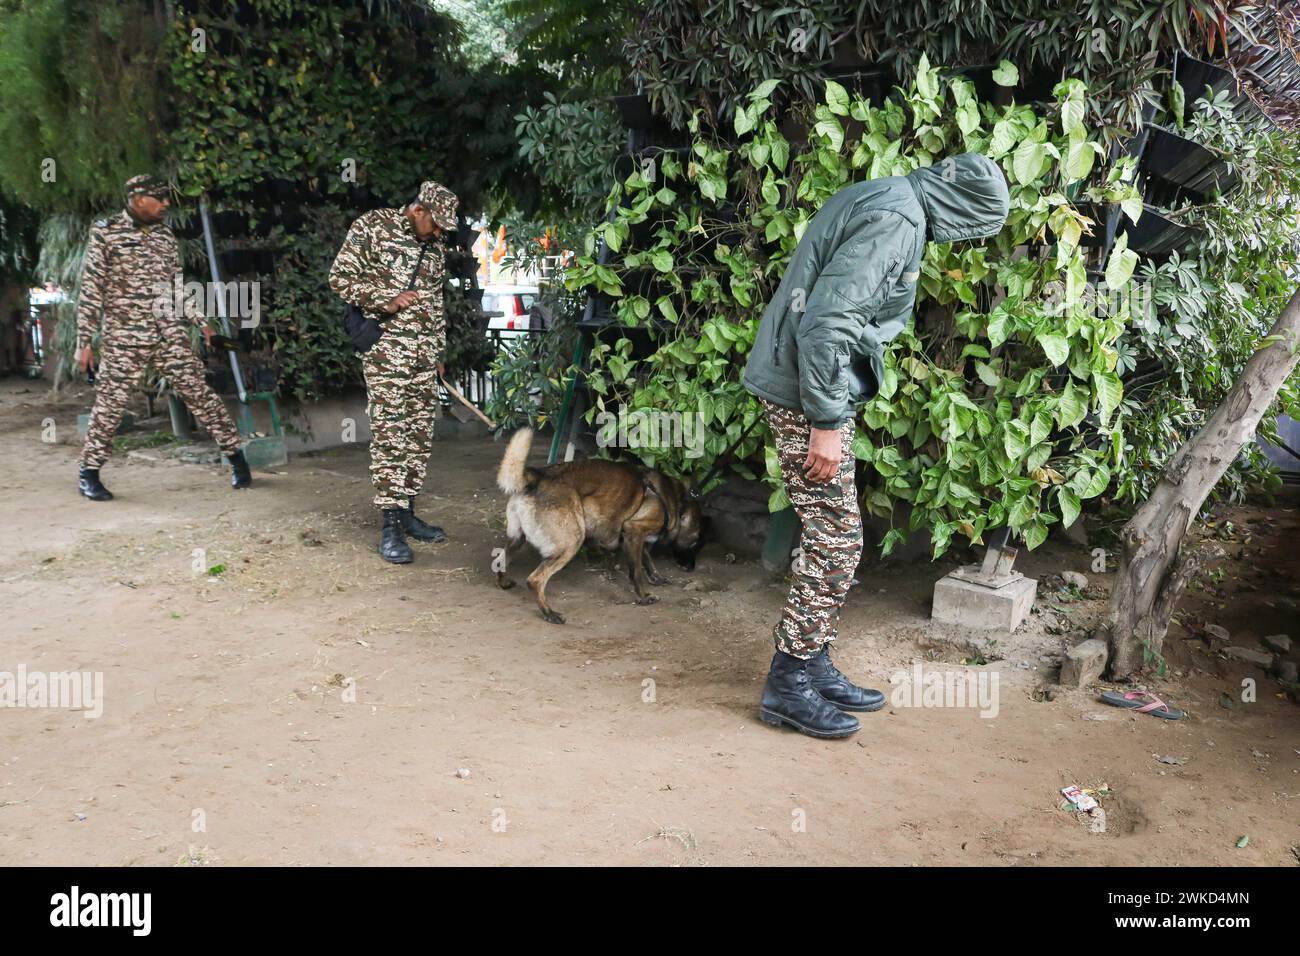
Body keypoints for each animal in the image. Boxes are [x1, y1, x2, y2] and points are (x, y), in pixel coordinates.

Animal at [493, 429, 702, 624]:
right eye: (694, 542)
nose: (692, 568)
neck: (675, 499)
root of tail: (539, 476)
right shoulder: (634, 530)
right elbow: (636, 571)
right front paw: (643, 596)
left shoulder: (632, 537)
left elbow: (644, 558)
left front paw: (653, 577)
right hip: (572, 541)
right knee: (535, 580)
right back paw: (549, 613)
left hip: (517, 539)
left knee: (500, 560)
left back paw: (504, 583)